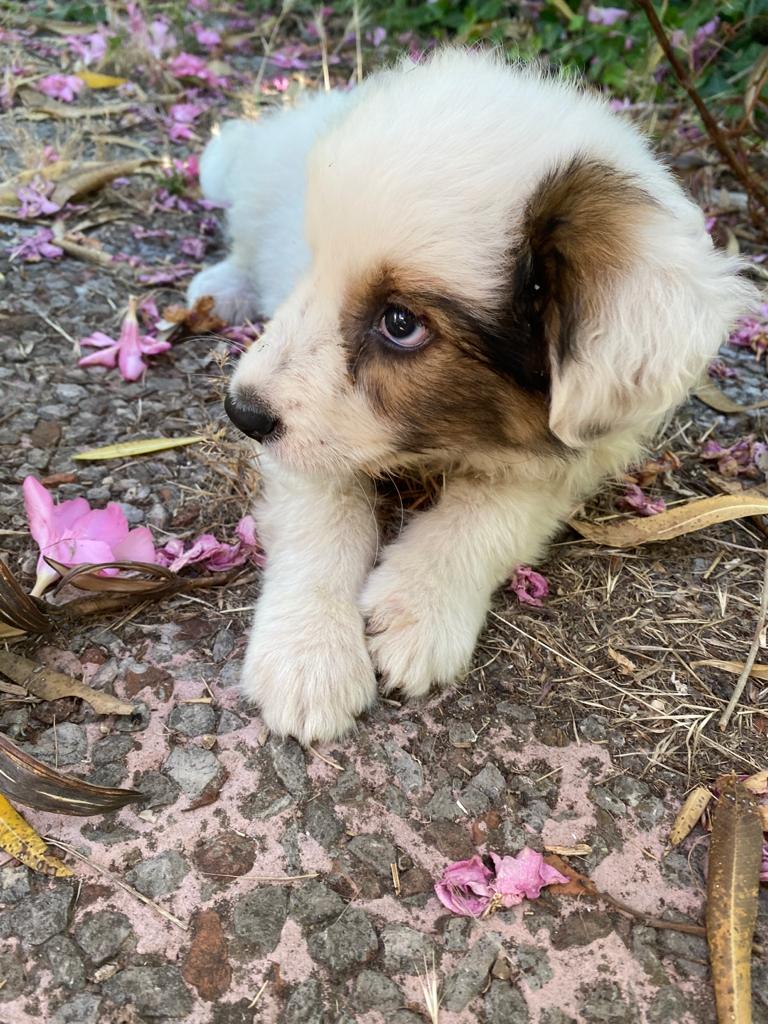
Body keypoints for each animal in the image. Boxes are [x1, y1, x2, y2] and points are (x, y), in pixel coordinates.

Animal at [188, 48, 754, 744]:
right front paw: (308, 654)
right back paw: (220, 288)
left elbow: (491, 514)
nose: (240, 413)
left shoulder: (576, 453)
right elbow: (323, 517)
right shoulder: (302, 445)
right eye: (312, 272)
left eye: (400, 323)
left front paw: (420, 606)